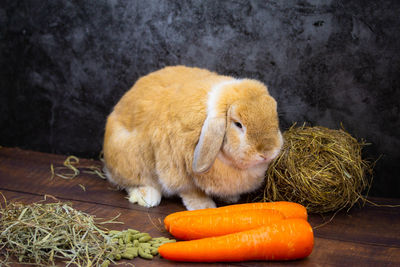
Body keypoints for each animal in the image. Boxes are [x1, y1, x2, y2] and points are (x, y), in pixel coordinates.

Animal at [103, 66, 284, 210]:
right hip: (130, 158)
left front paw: (230, 198)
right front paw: (204, 206)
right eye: (238, 124)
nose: (267, 152)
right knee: (127, 181)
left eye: (274, 114)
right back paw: (147, 197)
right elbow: (190, 191)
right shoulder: (176, 169)